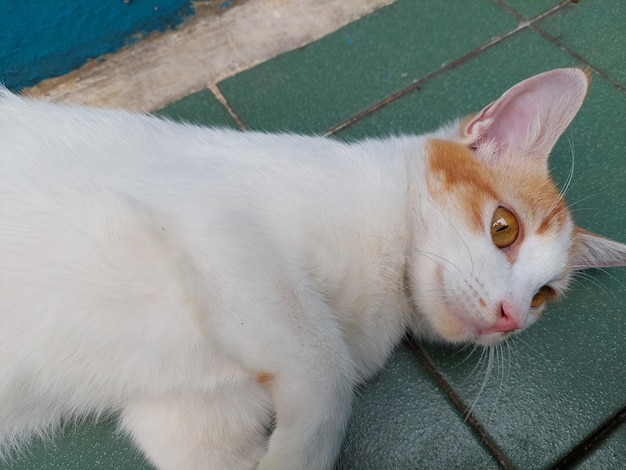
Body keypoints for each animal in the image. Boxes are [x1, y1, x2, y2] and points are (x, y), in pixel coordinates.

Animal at [0, 67, 620, 470]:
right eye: (504, 228)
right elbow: (326, 370)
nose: (512, 316)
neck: (384, 293)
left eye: (543, 296)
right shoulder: (215, 226)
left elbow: (194, 445)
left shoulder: (184, 407)